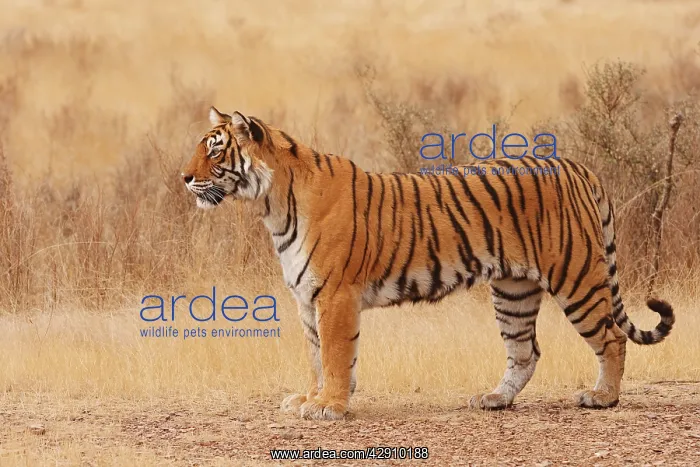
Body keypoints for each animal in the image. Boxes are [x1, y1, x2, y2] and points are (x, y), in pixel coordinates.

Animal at [181, 106, 675, 421]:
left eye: (215, 150)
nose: (183, 178)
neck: (272, 205)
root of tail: (576, 165)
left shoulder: (335, 295)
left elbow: (336, 355)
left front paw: (328, 407)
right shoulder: (307, 299)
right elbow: (316, 356)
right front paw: (309, 398)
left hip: (576, 277)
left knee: (611, 337)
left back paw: (602, 397)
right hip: (513, 291)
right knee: (525, 351)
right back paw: (495, 399)